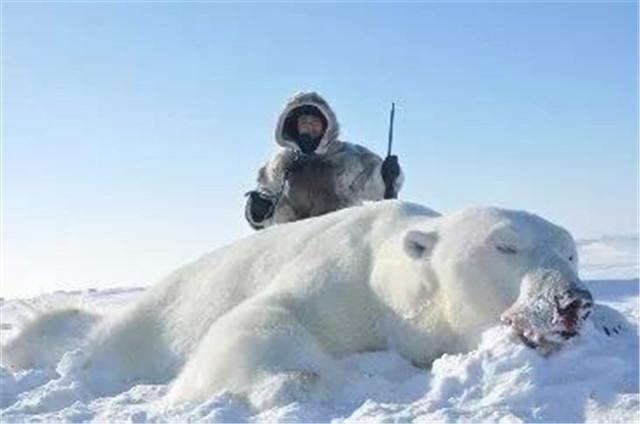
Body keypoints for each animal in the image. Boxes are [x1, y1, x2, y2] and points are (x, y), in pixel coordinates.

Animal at [1, 200, 592, 406]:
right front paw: (300, 383)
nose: (573, 301)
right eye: (504, 246)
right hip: (138, 331)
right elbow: (263, 316)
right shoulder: (344, 278)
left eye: (570, 250)